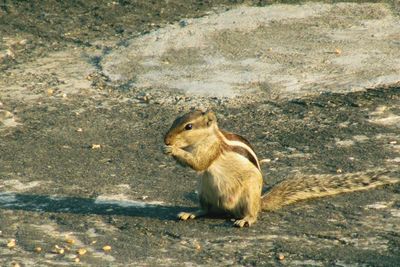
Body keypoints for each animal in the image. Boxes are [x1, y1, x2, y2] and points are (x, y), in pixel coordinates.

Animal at [163, 110, 400, 227]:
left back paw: (246, 219)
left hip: (248, 194)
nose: (166, 139)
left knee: (251, 213)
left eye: (189, 126)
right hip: (204, 190)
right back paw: (191, 213)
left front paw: (173, 150)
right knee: (206, 209)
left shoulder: (211, 150)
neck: (208, 137)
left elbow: (199, 163)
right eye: (175, 120)